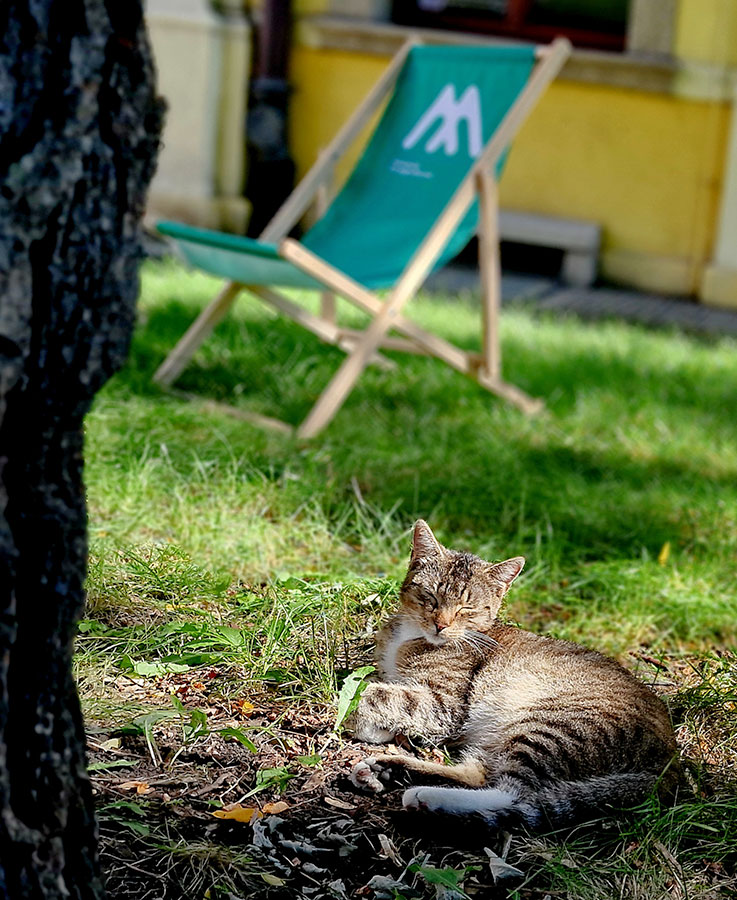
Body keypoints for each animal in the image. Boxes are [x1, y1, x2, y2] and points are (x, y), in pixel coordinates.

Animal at [348, 520, 676, 828]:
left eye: (467, 608)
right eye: (431, 596)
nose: (440, 625)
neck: (410, 634)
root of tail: (671, 761)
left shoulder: (444, 704)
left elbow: (378, 693)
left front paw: (354, 712)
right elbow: (388, 695)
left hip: (550, 729)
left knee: (515, 795)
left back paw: (424, 796)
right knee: (480, 775)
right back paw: (390, 770)